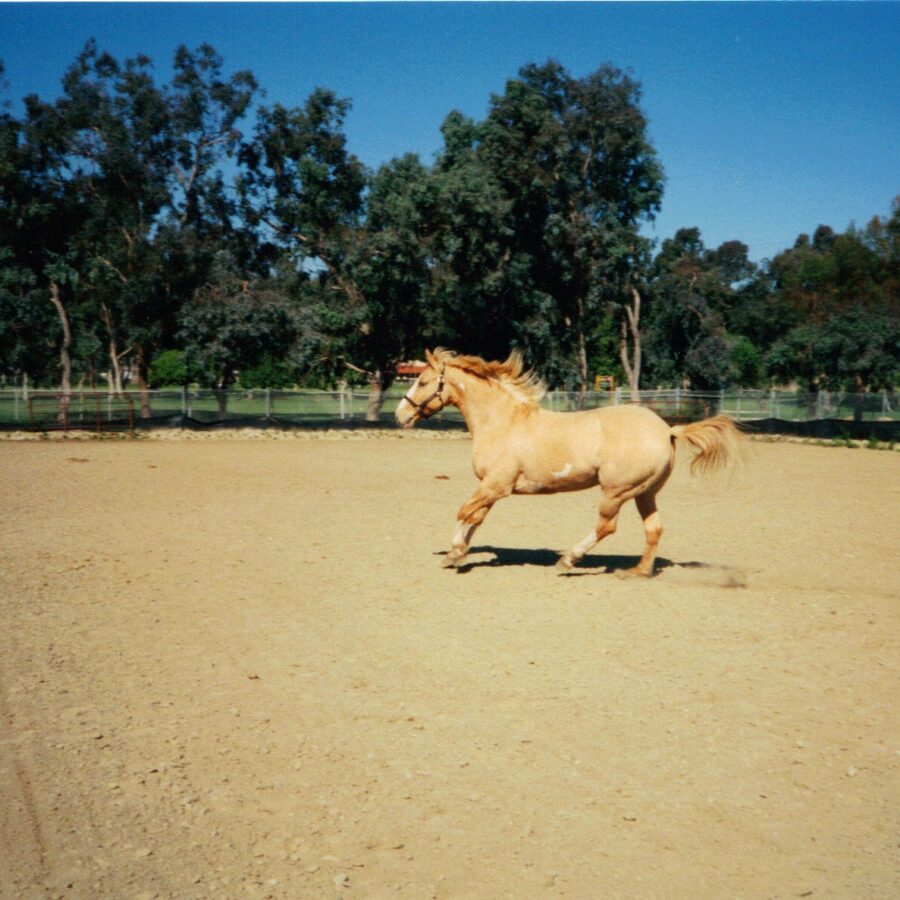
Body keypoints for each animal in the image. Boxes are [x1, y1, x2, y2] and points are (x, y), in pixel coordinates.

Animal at [395, 348, 744, 575]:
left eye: (422, 382)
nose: (401, 415)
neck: (502, 422)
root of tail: (667, 430)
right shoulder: (491, 487)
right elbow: (476, 517)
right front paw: (458, 553)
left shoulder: (496, 485)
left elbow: (464, 512)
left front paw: (453, 552)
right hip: (645, 493)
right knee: (654, 529)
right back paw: (638, 572)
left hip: (616, 491)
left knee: (607, 526)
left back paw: (567, 561)